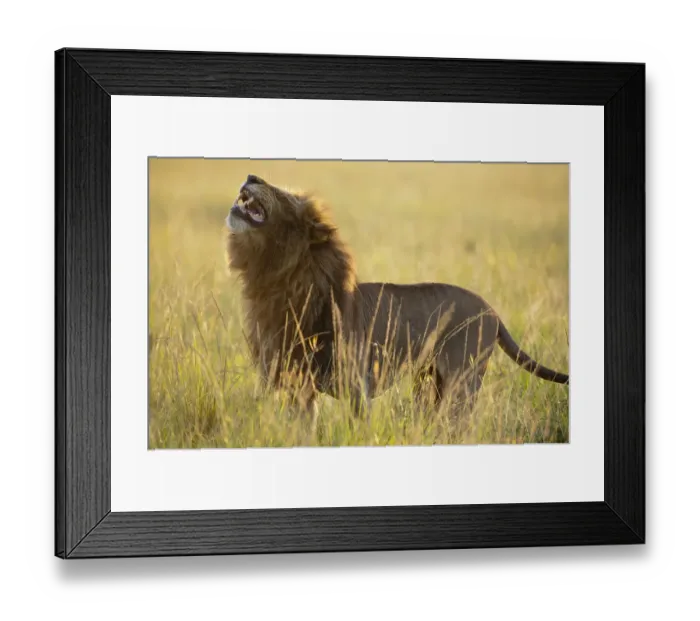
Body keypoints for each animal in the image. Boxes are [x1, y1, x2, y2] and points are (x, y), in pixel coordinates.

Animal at [225, 174, 568, 416]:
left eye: (284, 194)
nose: (252, 175)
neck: (275, 274)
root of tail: (493, 311)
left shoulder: (357, 385)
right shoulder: (297, 384)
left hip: (463, 381)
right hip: (432, 381)